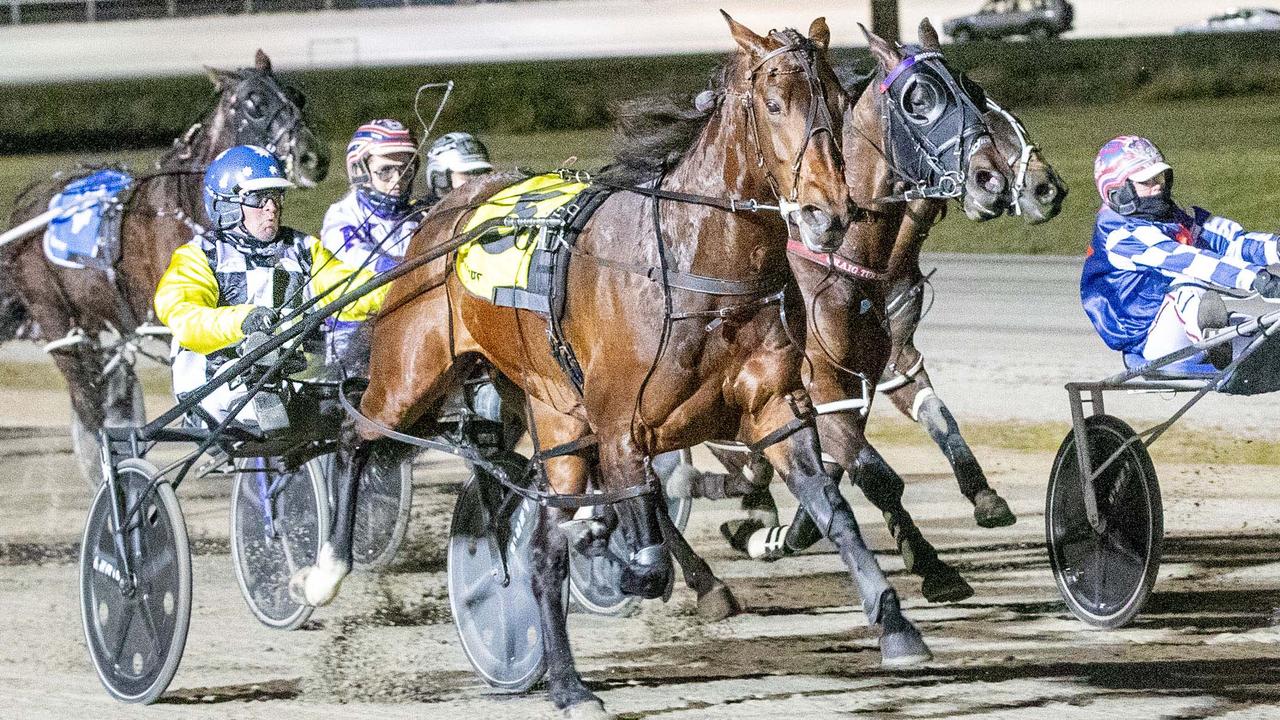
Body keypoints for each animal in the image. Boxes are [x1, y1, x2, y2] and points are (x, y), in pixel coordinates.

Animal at [1, 51, 330, 481]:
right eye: (254, 103)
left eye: (298, 95)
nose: (314, 158)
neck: (191, 207)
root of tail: (27, 201)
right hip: (59, 323)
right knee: (88, 402)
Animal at [296, 14, 977, 712]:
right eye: (774, 104)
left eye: (838, 105)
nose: (826, 213)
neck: (693, 263)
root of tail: (443, 214)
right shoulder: (623, 427)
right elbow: (644, 559)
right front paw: (613, 545)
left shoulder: (777, 410)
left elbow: (833, 508)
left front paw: (895, 622)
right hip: (413, 370)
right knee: (356, 436)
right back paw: (327, 571)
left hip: (555, 415)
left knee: (539, 544)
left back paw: (568, 683)